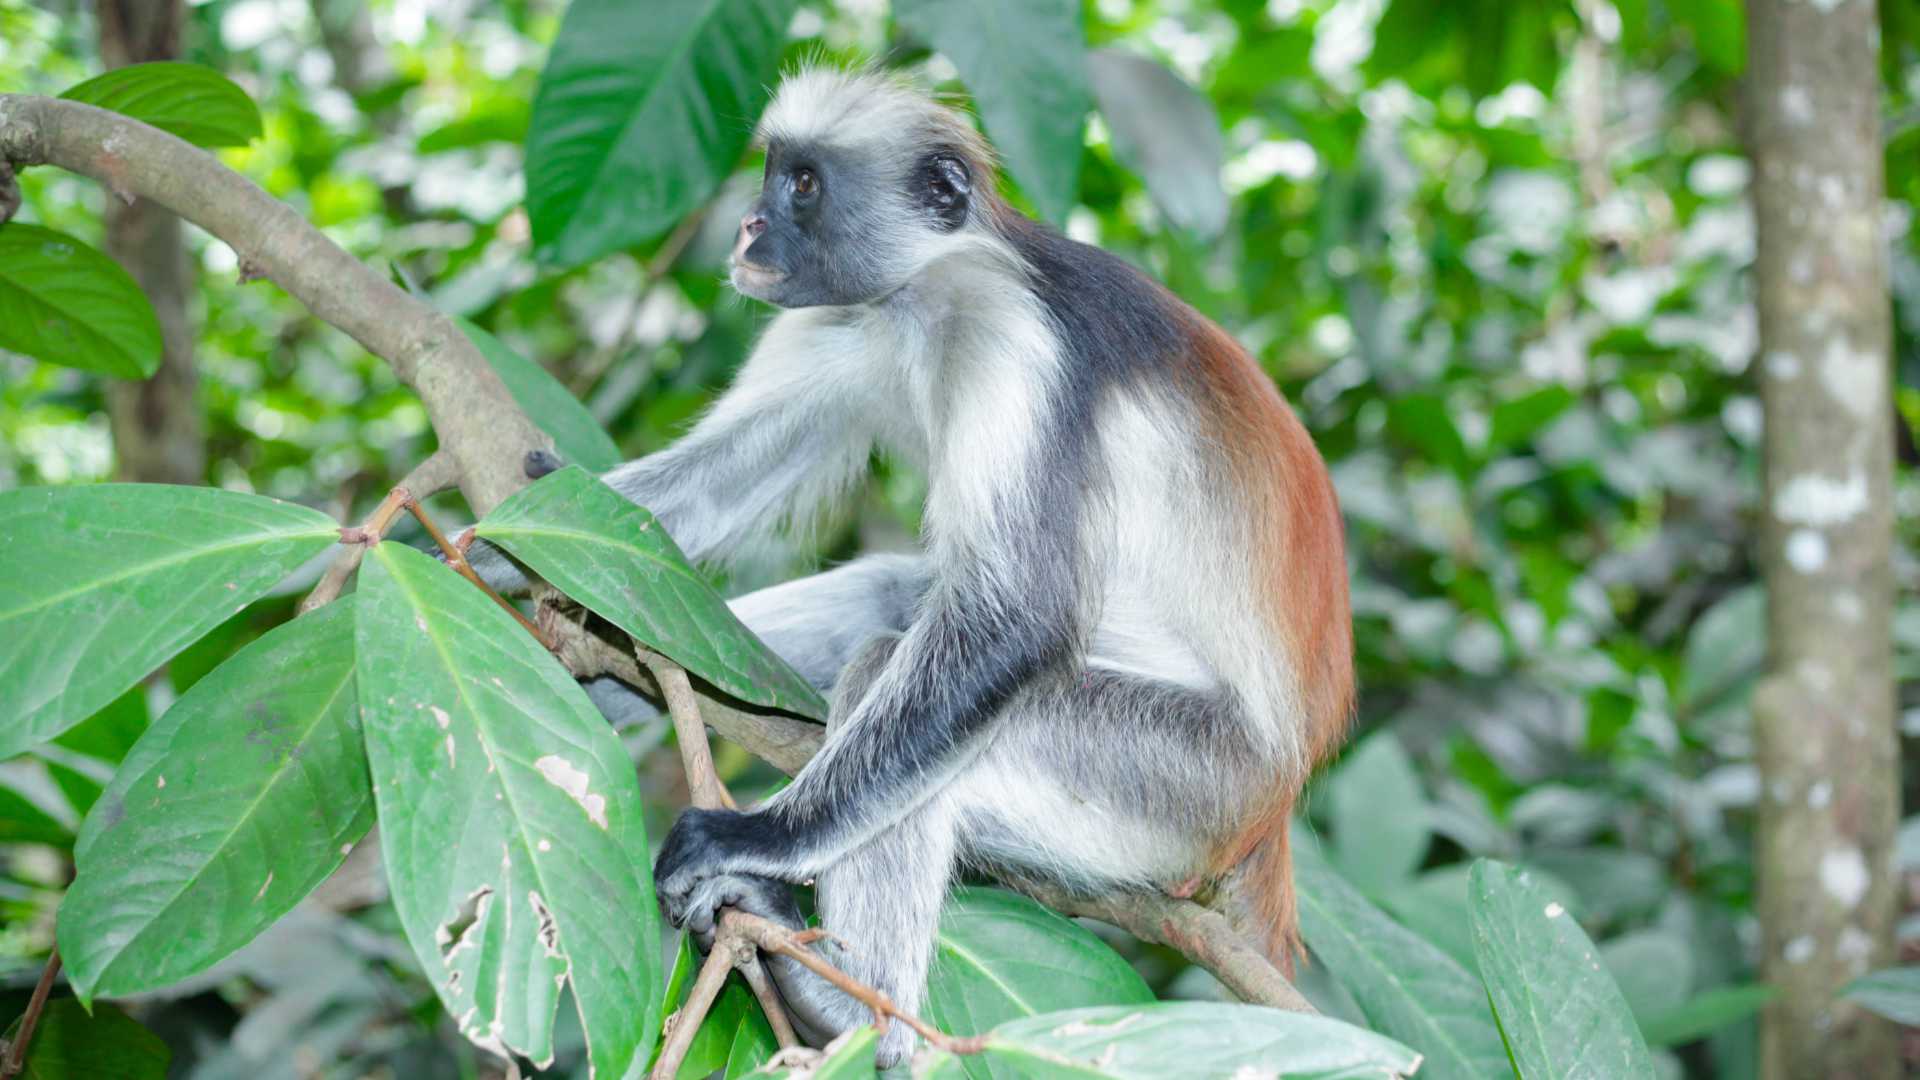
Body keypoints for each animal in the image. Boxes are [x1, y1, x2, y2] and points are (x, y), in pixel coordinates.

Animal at [473, 68, 1352, 1066]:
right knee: (885, 598)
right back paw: (604, 679)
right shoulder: (850, 319)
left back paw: (855, 1011)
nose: (746, 225)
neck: (924, 292)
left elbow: (1016, 623)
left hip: (1183, 782)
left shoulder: (1015, 345)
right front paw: (484, 551)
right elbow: (725, 479)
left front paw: (763, 833)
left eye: (802, 185)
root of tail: (1276, 802)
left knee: (896, 669)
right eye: (773, 172)